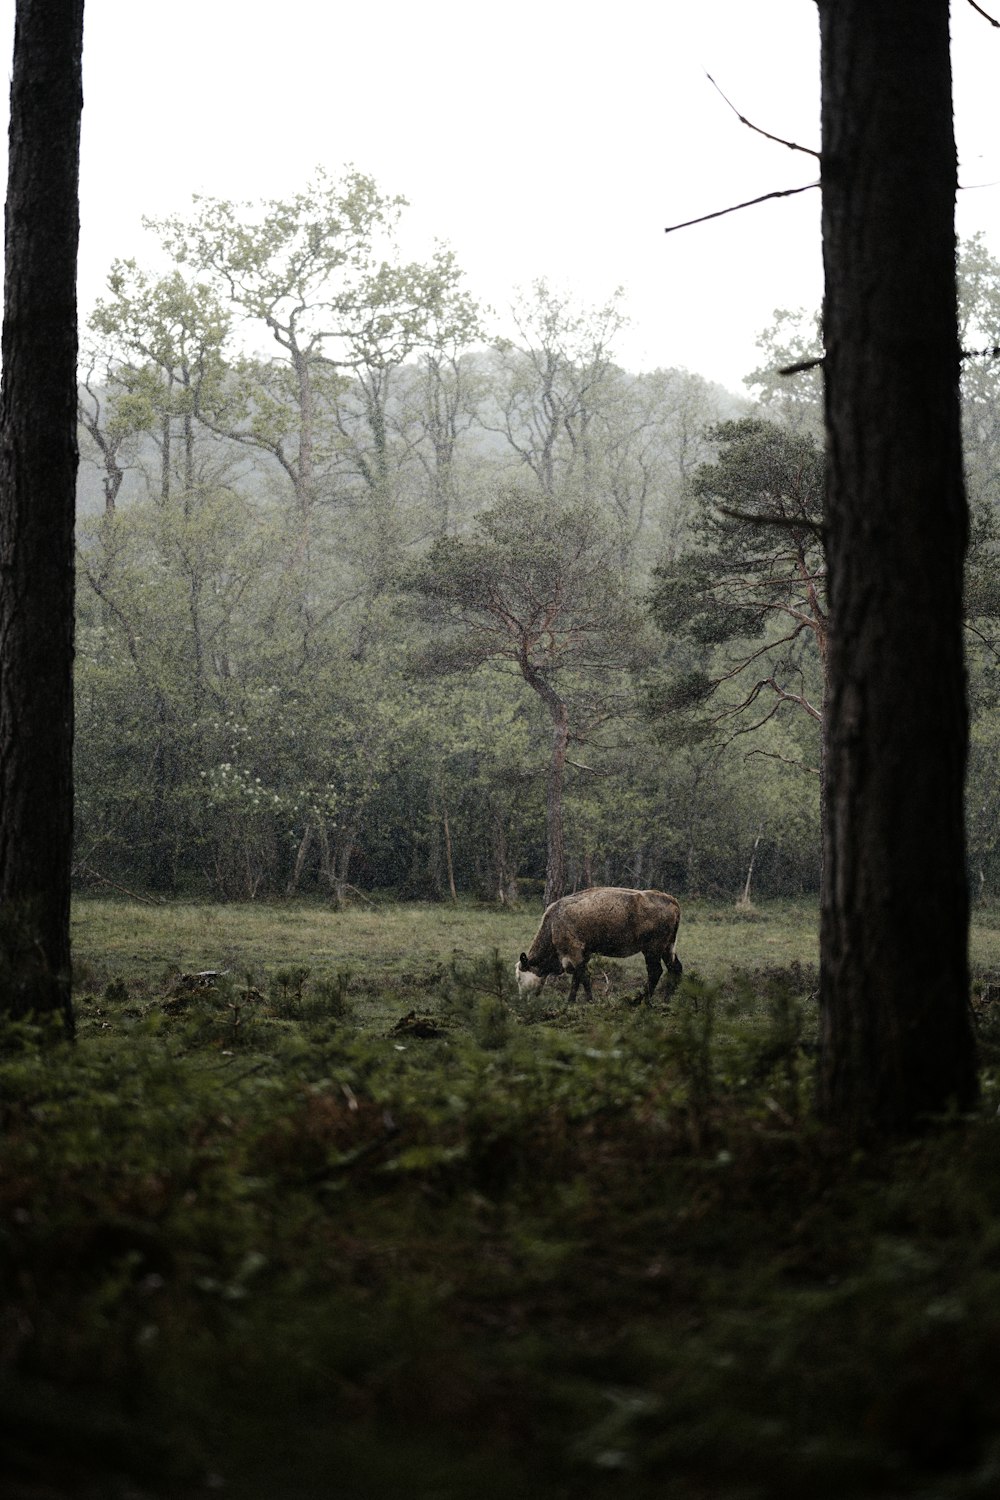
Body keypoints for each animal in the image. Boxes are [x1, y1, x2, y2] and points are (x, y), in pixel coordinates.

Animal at [515, 882, 680, 1002]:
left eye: (519, 978)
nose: (521, 999)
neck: (553, 924)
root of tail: (671, 900)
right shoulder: (583, 954)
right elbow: (579, 979)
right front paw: (574, 1001)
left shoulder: (574, 953)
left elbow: (583, 978)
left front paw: (585, 1000)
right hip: (668, 947)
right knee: (675, 968)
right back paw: (667, 999)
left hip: (652, 949)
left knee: (655, 971)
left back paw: (642, 1000)